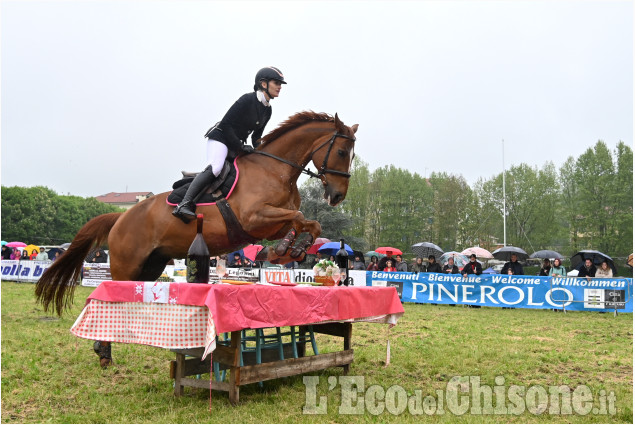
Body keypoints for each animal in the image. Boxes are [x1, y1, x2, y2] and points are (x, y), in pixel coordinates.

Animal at [36, 112, 358, 318]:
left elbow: (309, 223)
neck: (276, 169)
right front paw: (284, 250)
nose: (337, 196)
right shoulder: (254, 218)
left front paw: (291, 250)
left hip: (152, 264)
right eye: (342, 152)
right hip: (126, 265)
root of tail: (119, 218)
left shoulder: (268, 224)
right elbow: (301, 216)